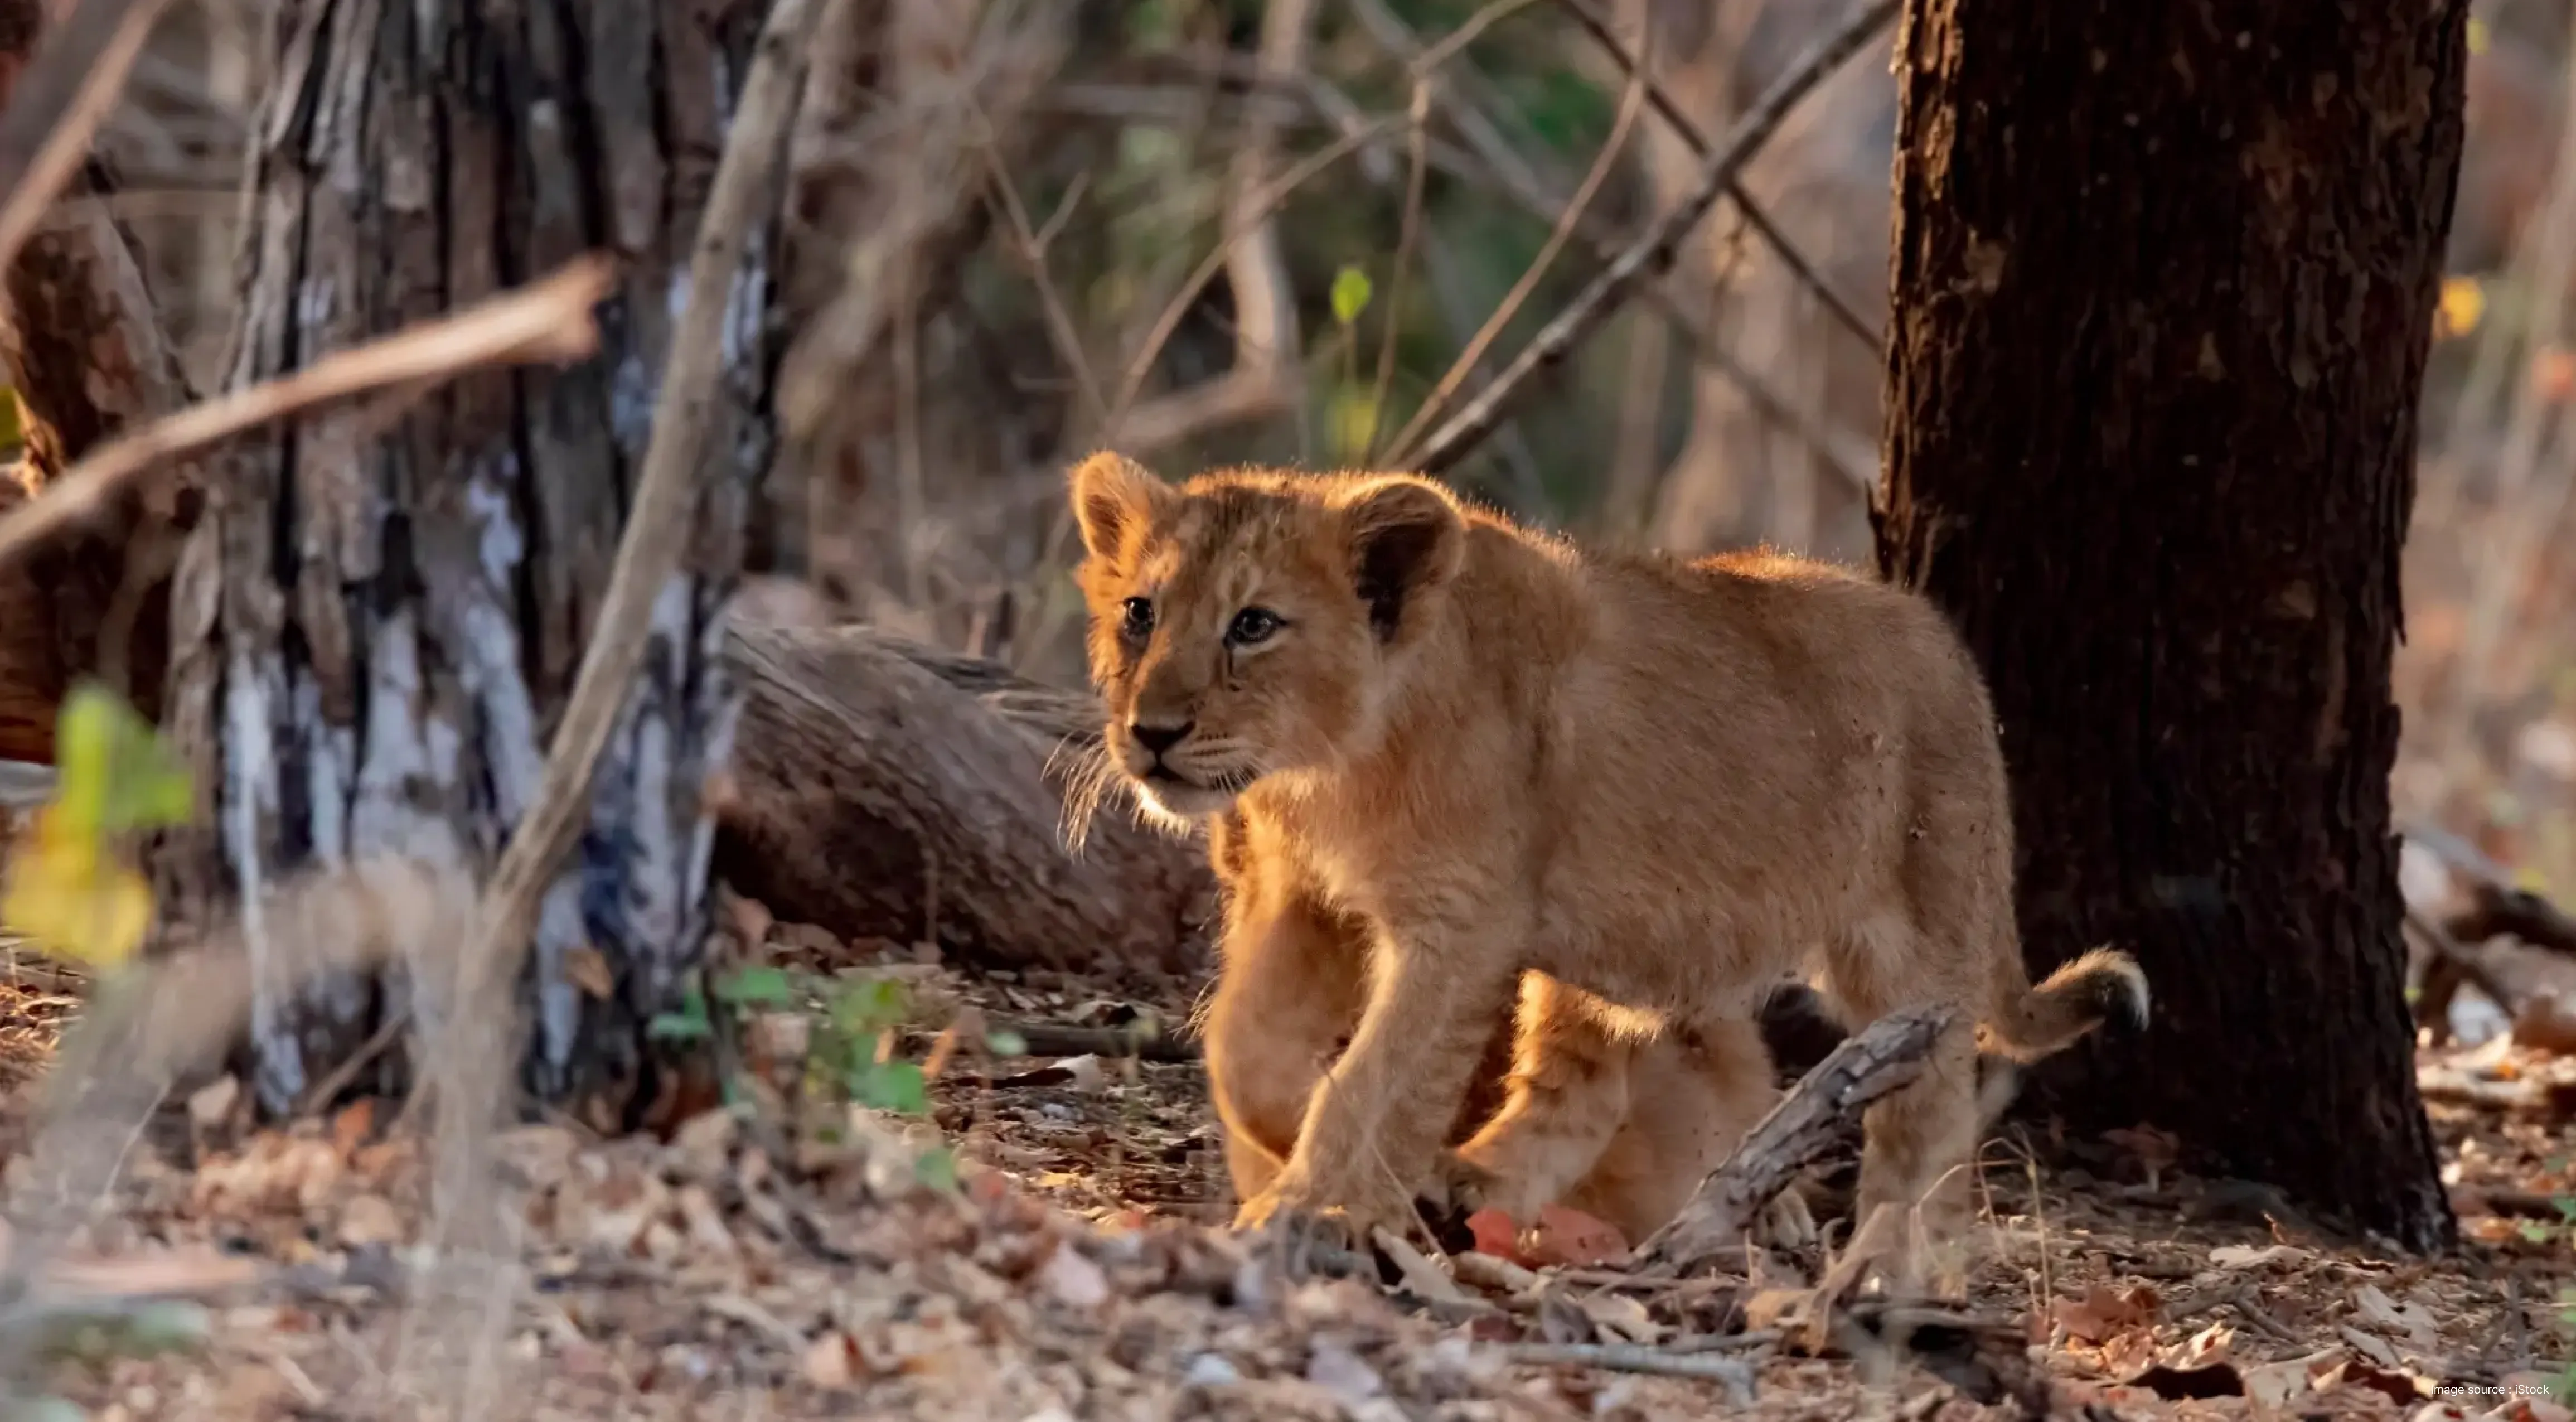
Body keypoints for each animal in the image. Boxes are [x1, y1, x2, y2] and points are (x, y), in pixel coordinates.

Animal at [1067, 453, 2148, 1270]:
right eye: (1141, 612)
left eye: (1253, 624)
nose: (1151, 733)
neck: (1328, 770)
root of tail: (1955, 659)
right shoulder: (1305, 897)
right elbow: (1246, 1045)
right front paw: (1303, 1146)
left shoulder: (1461, 923)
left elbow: (1385, 1072)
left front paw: (1320, 1207)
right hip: (1606, 952)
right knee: (1585, 1090)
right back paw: (1473, 1182)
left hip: (1916, 938)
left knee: (1932, 1118)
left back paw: (1891, 1262)